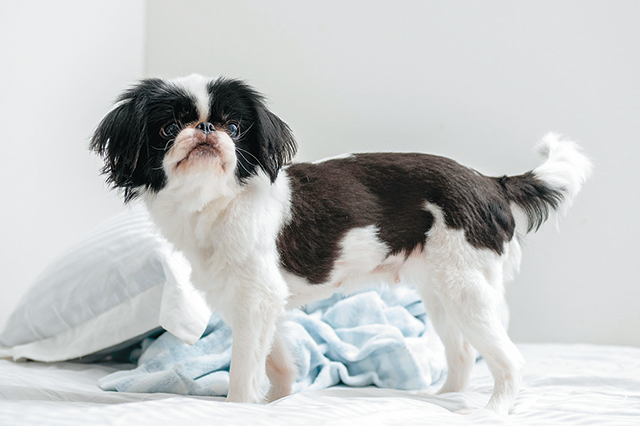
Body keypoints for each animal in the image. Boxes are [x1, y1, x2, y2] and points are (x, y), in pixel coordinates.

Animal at [90, 73, 592, 412]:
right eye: (166, 129)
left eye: (233, 127)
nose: (206, 130)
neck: (216, 200)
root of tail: (490, 182)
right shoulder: (260, 300)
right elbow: (276, 362)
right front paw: (277, 403)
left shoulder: (255, 298)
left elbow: (243, 368)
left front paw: (239, 408)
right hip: (443, 292)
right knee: (464, 355)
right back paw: (442, 400)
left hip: (466, 289)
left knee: (509, 360)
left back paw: (492, 410)